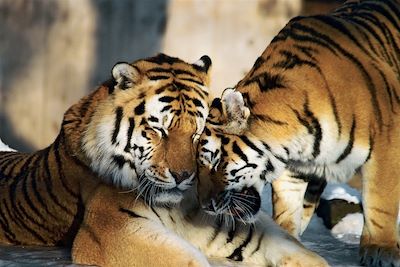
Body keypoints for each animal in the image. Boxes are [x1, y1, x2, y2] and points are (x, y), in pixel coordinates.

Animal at [196, 1, 400, 266]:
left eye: (214, 161)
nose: (204, 205)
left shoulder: (386, 147)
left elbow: (380, 204)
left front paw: (381, 251)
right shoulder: (293, 168)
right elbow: (288, 208)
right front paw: (284, 240)